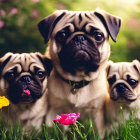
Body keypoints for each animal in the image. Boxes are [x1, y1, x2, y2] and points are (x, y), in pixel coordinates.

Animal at [37, 9, 121, 138]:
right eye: (62, 35)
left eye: (98, 36)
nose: (80, 38)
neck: (77, 81)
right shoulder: (54, 110)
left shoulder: (96, 113)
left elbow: (96, 133)